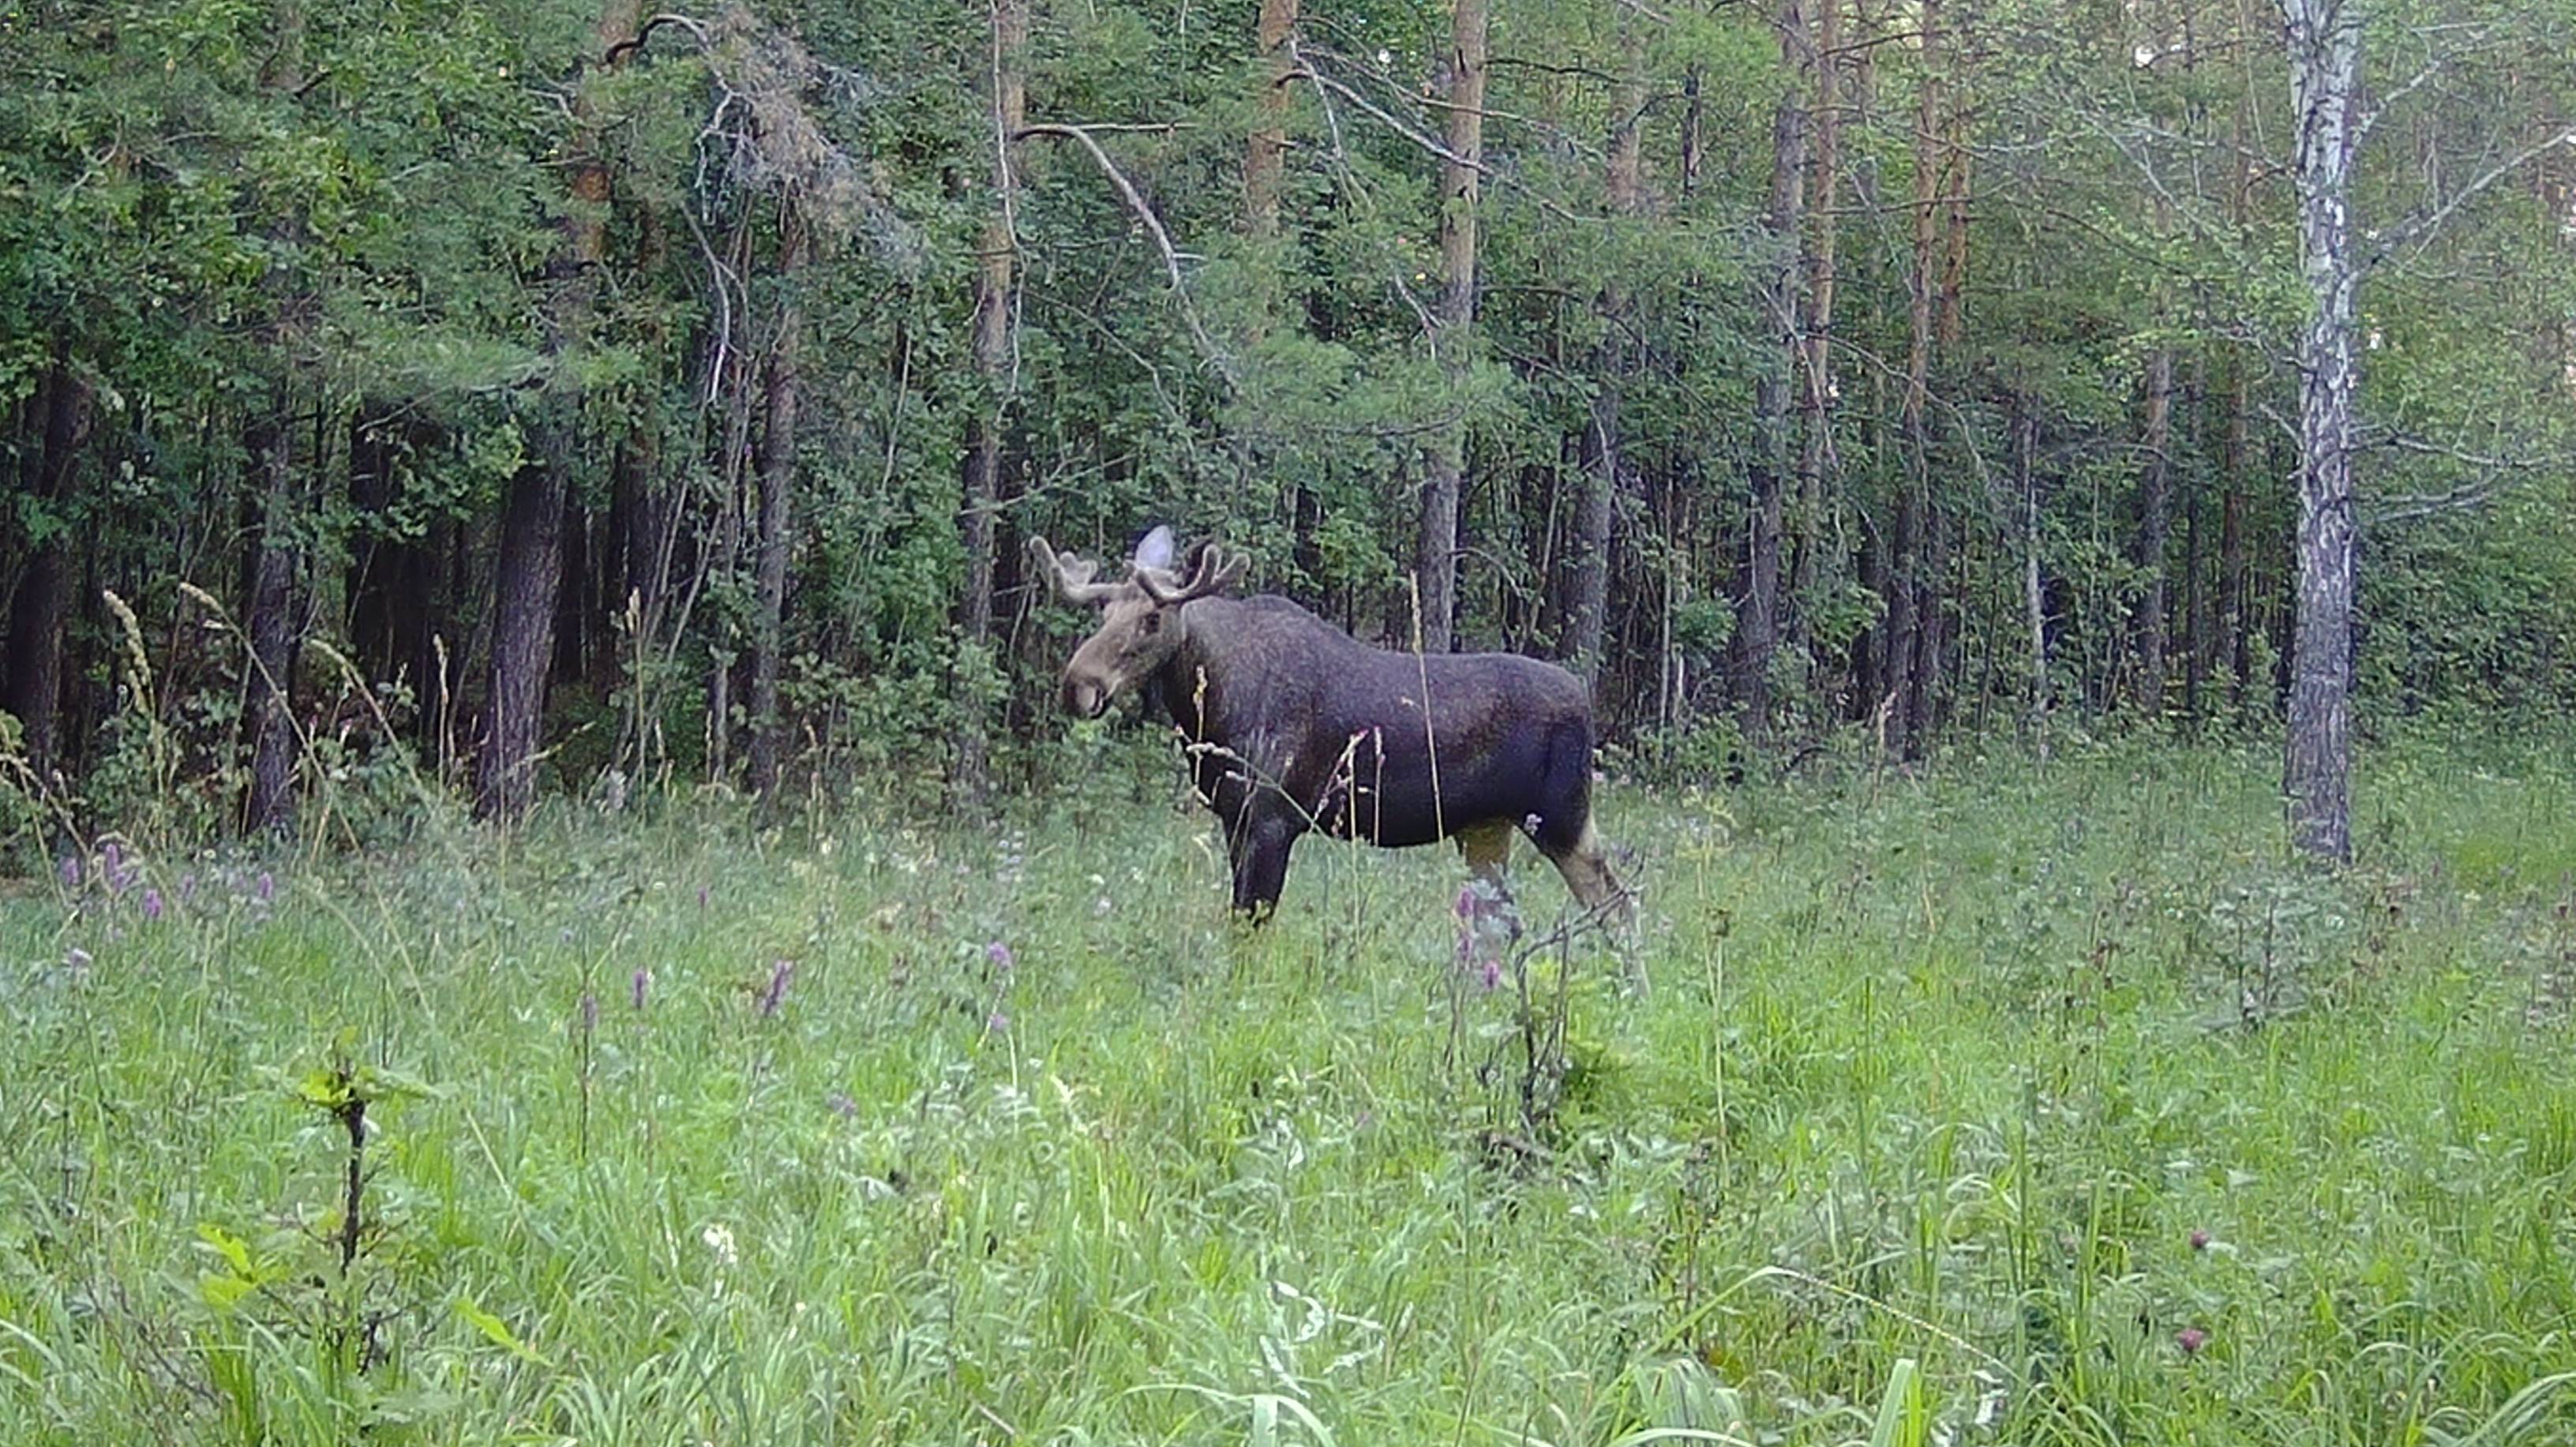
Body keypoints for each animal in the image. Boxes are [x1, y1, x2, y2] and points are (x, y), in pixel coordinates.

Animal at [1025, 523, 1628, 917]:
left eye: (1152, 618)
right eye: (1103, 611)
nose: (1078, 685)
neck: (1209, 707)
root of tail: (1584, 700)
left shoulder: (1272, 819)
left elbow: (1250, 923)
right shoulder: (1233, 817)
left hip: (1562, 815)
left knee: (1615, 903)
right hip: (1487, 827)